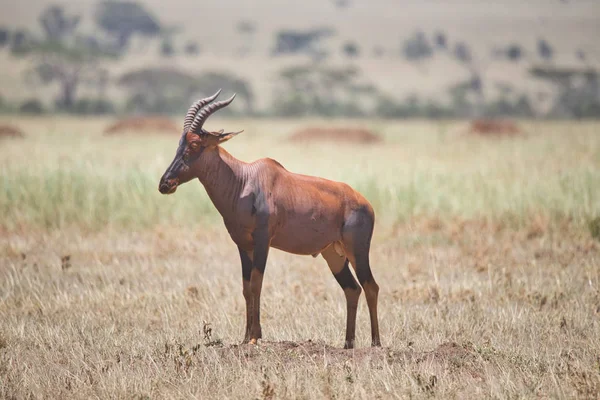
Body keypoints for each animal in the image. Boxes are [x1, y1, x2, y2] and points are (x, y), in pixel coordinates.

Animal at [158, 90, 380, 346]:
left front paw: (255, 337)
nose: (165, 184)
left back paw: (375, 343)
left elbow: (257, 283)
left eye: (195, 144)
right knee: (352, 289)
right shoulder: (243, 245)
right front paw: (245, 338)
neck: (244, 181)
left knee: (371, 286)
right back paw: (348, 344)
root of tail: (366, 203)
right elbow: (246, 287)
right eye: (179, 143)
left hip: (357, 250)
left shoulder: (263, 241)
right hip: (334, 254)